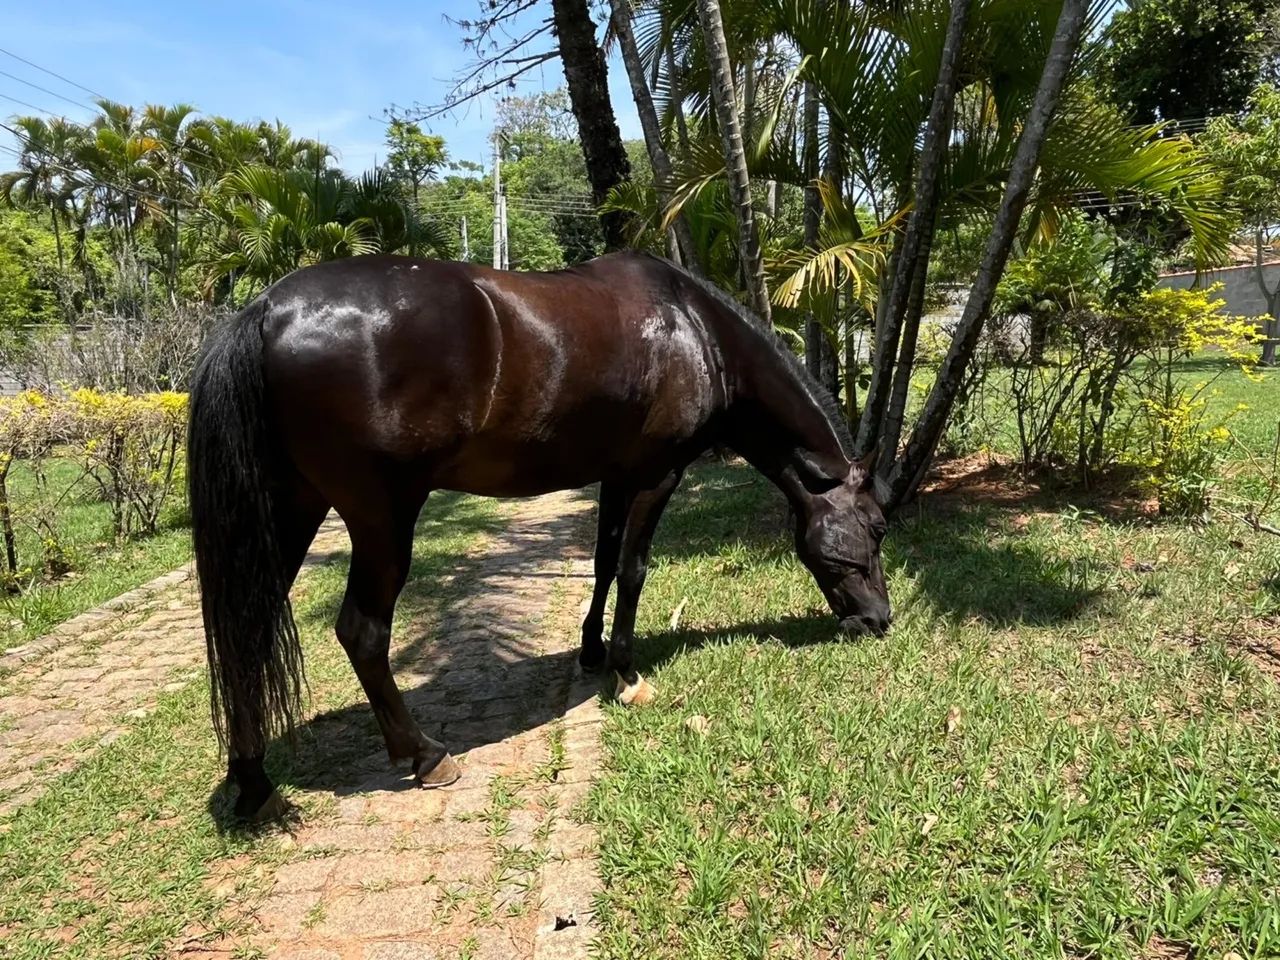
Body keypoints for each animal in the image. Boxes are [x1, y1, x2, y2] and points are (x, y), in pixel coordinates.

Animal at [188, 250, 891, 820]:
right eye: (878, 526)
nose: (879, 620)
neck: (695, 333)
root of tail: (268, 310)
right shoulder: (655, 475)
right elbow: (634, 568)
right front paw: (627, 673)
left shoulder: (616, 476)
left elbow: (604, 563)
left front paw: (592, 651)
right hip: (380, 517)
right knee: (361, 632)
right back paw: (425, 755)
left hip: (291, 507)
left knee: (249, 629)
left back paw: (253, 782)